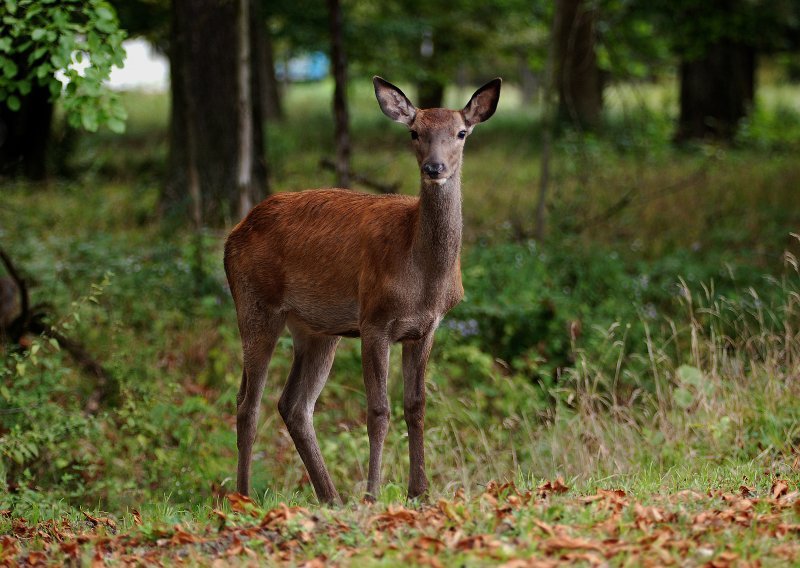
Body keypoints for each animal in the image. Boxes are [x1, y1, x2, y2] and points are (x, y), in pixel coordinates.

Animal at [223, 75, 500, 506]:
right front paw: (372, 494)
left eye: (461, 132)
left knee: (294, 405)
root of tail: (232, 236)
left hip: (317, 330)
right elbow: (378, 410)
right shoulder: (374, 320)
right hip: (255, 305)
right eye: (414, 132)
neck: (424, 277)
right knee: (248, 403)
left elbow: (416, 405)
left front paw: (419, 492)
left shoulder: (426, 328)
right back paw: (244, 497)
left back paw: (330, 497)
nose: (434, 167)